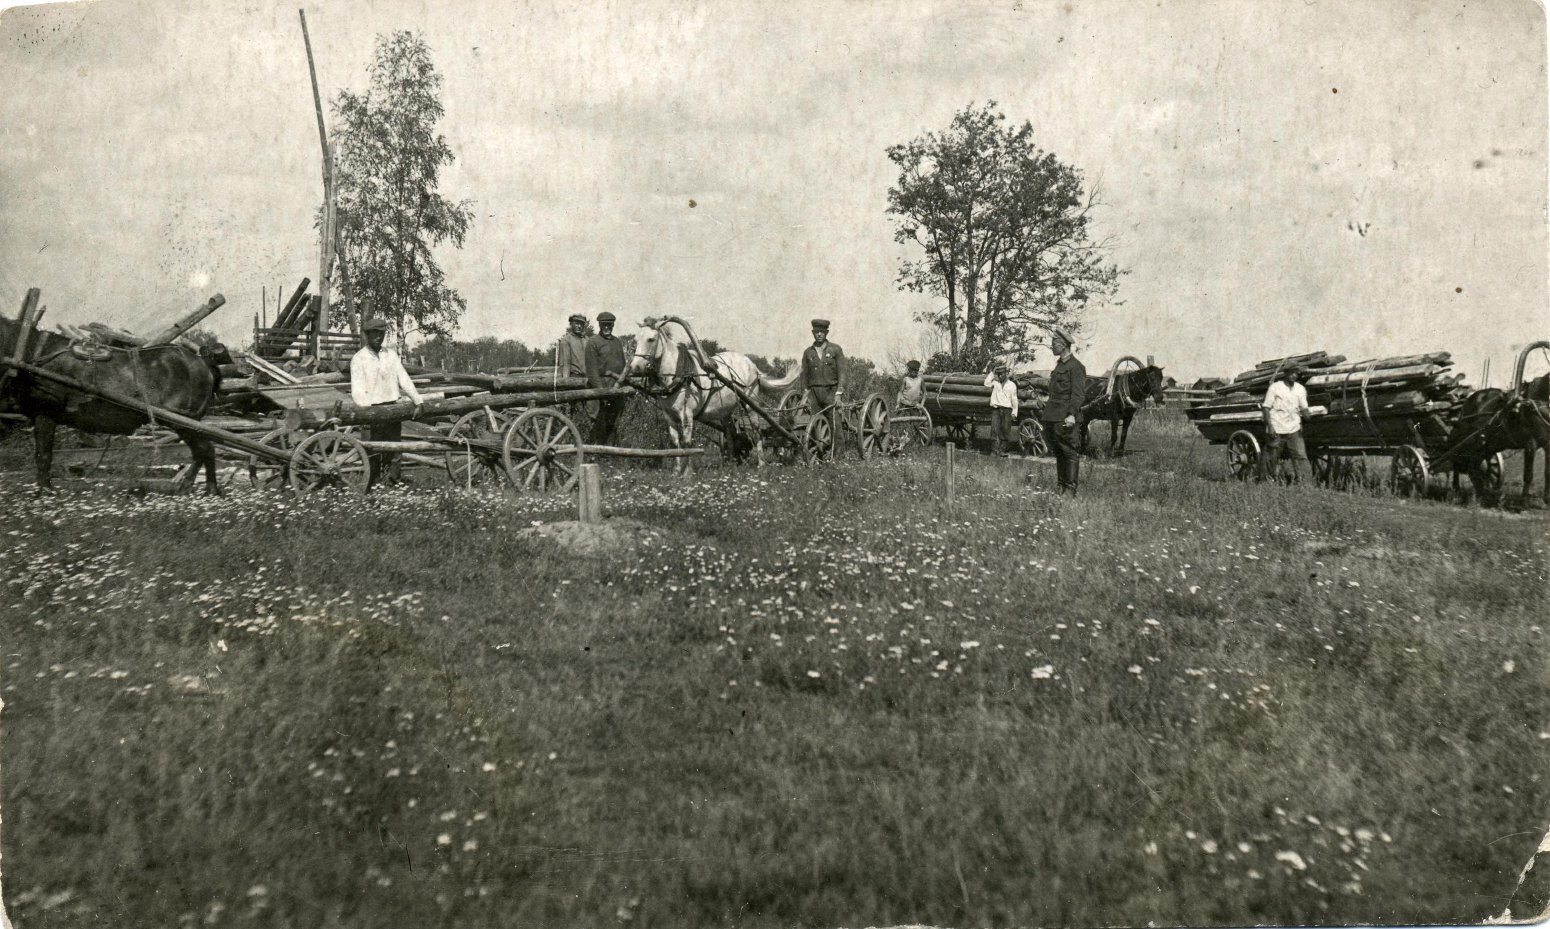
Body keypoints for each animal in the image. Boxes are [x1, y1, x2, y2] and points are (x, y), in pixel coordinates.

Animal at [1, 316, 221, 493]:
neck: (32, 351)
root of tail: (203, 363)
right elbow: (41, 454)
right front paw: (43, 489)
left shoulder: (45, 414)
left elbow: (43, 455)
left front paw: (45, 491)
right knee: (200, 452)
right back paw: (189, 485)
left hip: (184, 421)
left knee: (206, 450)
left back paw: (210, 489)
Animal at [623, 319, 799, 471]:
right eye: (636, 340)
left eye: (651, 339)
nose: (635, 367)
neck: (678, 373)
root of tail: (753, 366)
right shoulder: (669, 415)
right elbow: (675, 443)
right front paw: (677, 471)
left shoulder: (686, 414)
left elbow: (687, 442)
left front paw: (687, 472)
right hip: (725, 410)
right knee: (730, 432)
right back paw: (731, 462)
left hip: (751, 404)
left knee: (757, 432)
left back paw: (762, 464)